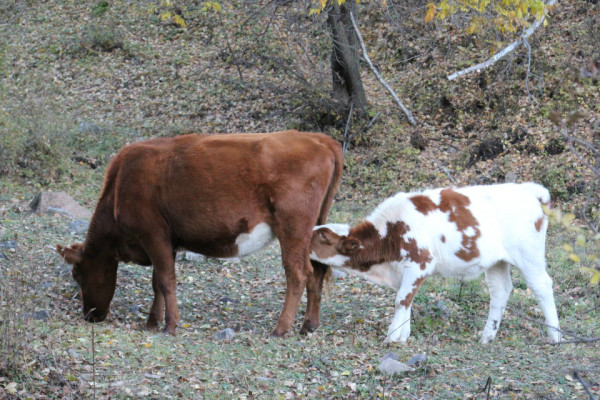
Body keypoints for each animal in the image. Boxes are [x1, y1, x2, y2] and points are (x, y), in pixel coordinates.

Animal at [59, 130, 344, 334]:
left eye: (76, 273)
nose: (89, 316)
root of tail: (319, 139)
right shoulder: (166, 241)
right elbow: (157, 282)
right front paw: (152, 322)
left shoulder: (153, 234)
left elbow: (166, 280)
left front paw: (170, 326)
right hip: (314, 228)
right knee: (317, 272)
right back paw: (309, 326)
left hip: (293, 227)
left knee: (298, 273)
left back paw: (281, 328)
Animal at [312, 183, 560, 342]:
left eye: (321, 237)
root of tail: (530, 190)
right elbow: (407, 301)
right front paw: (403, 335)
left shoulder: (419, 263)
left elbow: (401, 300)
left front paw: (392, 337)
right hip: (497, 261)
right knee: (501, 291)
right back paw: (487, 337)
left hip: (529, 254)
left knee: (542, 286)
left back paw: (555, 336)